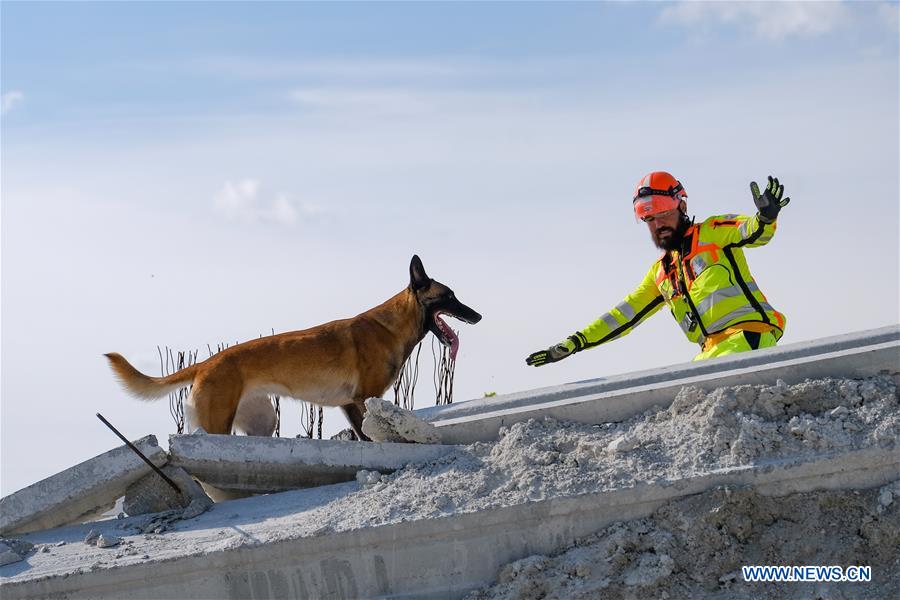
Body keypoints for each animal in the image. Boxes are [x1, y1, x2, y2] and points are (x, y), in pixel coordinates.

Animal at [103, 254, 482, 440]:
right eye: (449, 297)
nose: (478, 315)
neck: (391, 325)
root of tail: (206, 364)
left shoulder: (349, 404)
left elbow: (364, 437)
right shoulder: (366, 398)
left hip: (262, 422)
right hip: (217, 424)